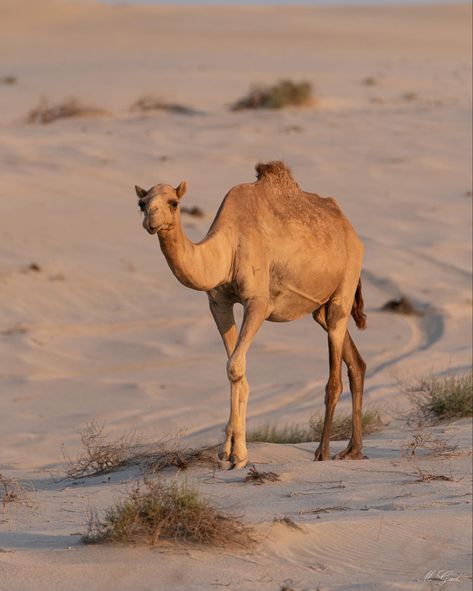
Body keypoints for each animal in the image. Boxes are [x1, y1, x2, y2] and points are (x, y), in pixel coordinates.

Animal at [135, 160, 366, 470]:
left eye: (173, 202)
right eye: (142, 203)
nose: (151, 221)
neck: (227, 248)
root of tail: (352, 233)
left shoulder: (258, 302)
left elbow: (235, 366)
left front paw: (238, 455)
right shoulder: (218, 302)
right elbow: (236, 370)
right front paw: (229, 453)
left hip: (345, 286)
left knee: (334, 376)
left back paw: (323, 452)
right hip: (321, 307)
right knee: (355, 362)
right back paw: (353, 450)